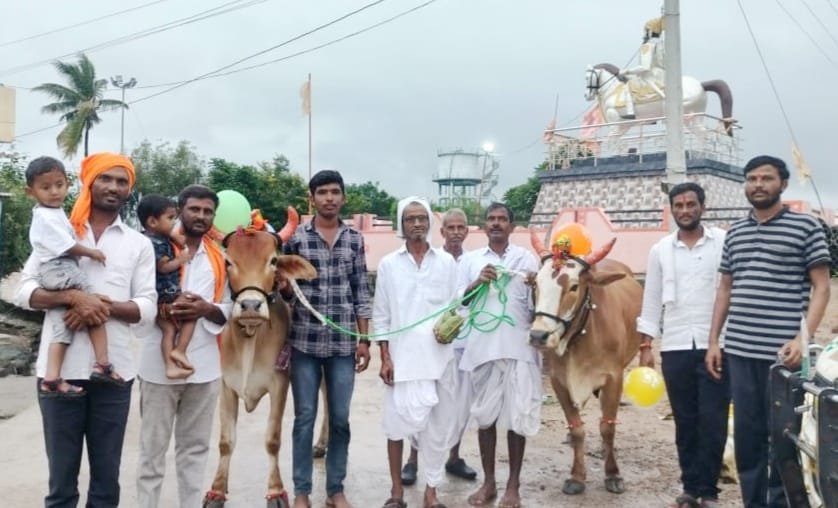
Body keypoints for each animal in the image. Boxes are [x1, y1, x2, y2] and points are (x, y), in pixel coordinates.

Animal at [205, 208, 316, 506]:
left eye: (273, 260)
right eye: (229, 261)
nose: (251, 305)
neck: (250, 337)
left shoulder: (280, 384)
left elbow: (272, 439)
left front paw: (276, 491)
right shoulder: (226, 386)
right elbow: (225, 442)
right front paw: (216, 490)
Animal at [532, 231, 644, 496]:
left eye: (574, 286)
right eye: (536, 284)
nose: (538, 335)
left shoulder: (614, 378)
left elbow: (607, 427)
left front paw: (612, 474)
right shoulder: (559, 381)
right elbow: (577, 428)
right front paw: (576, 476)